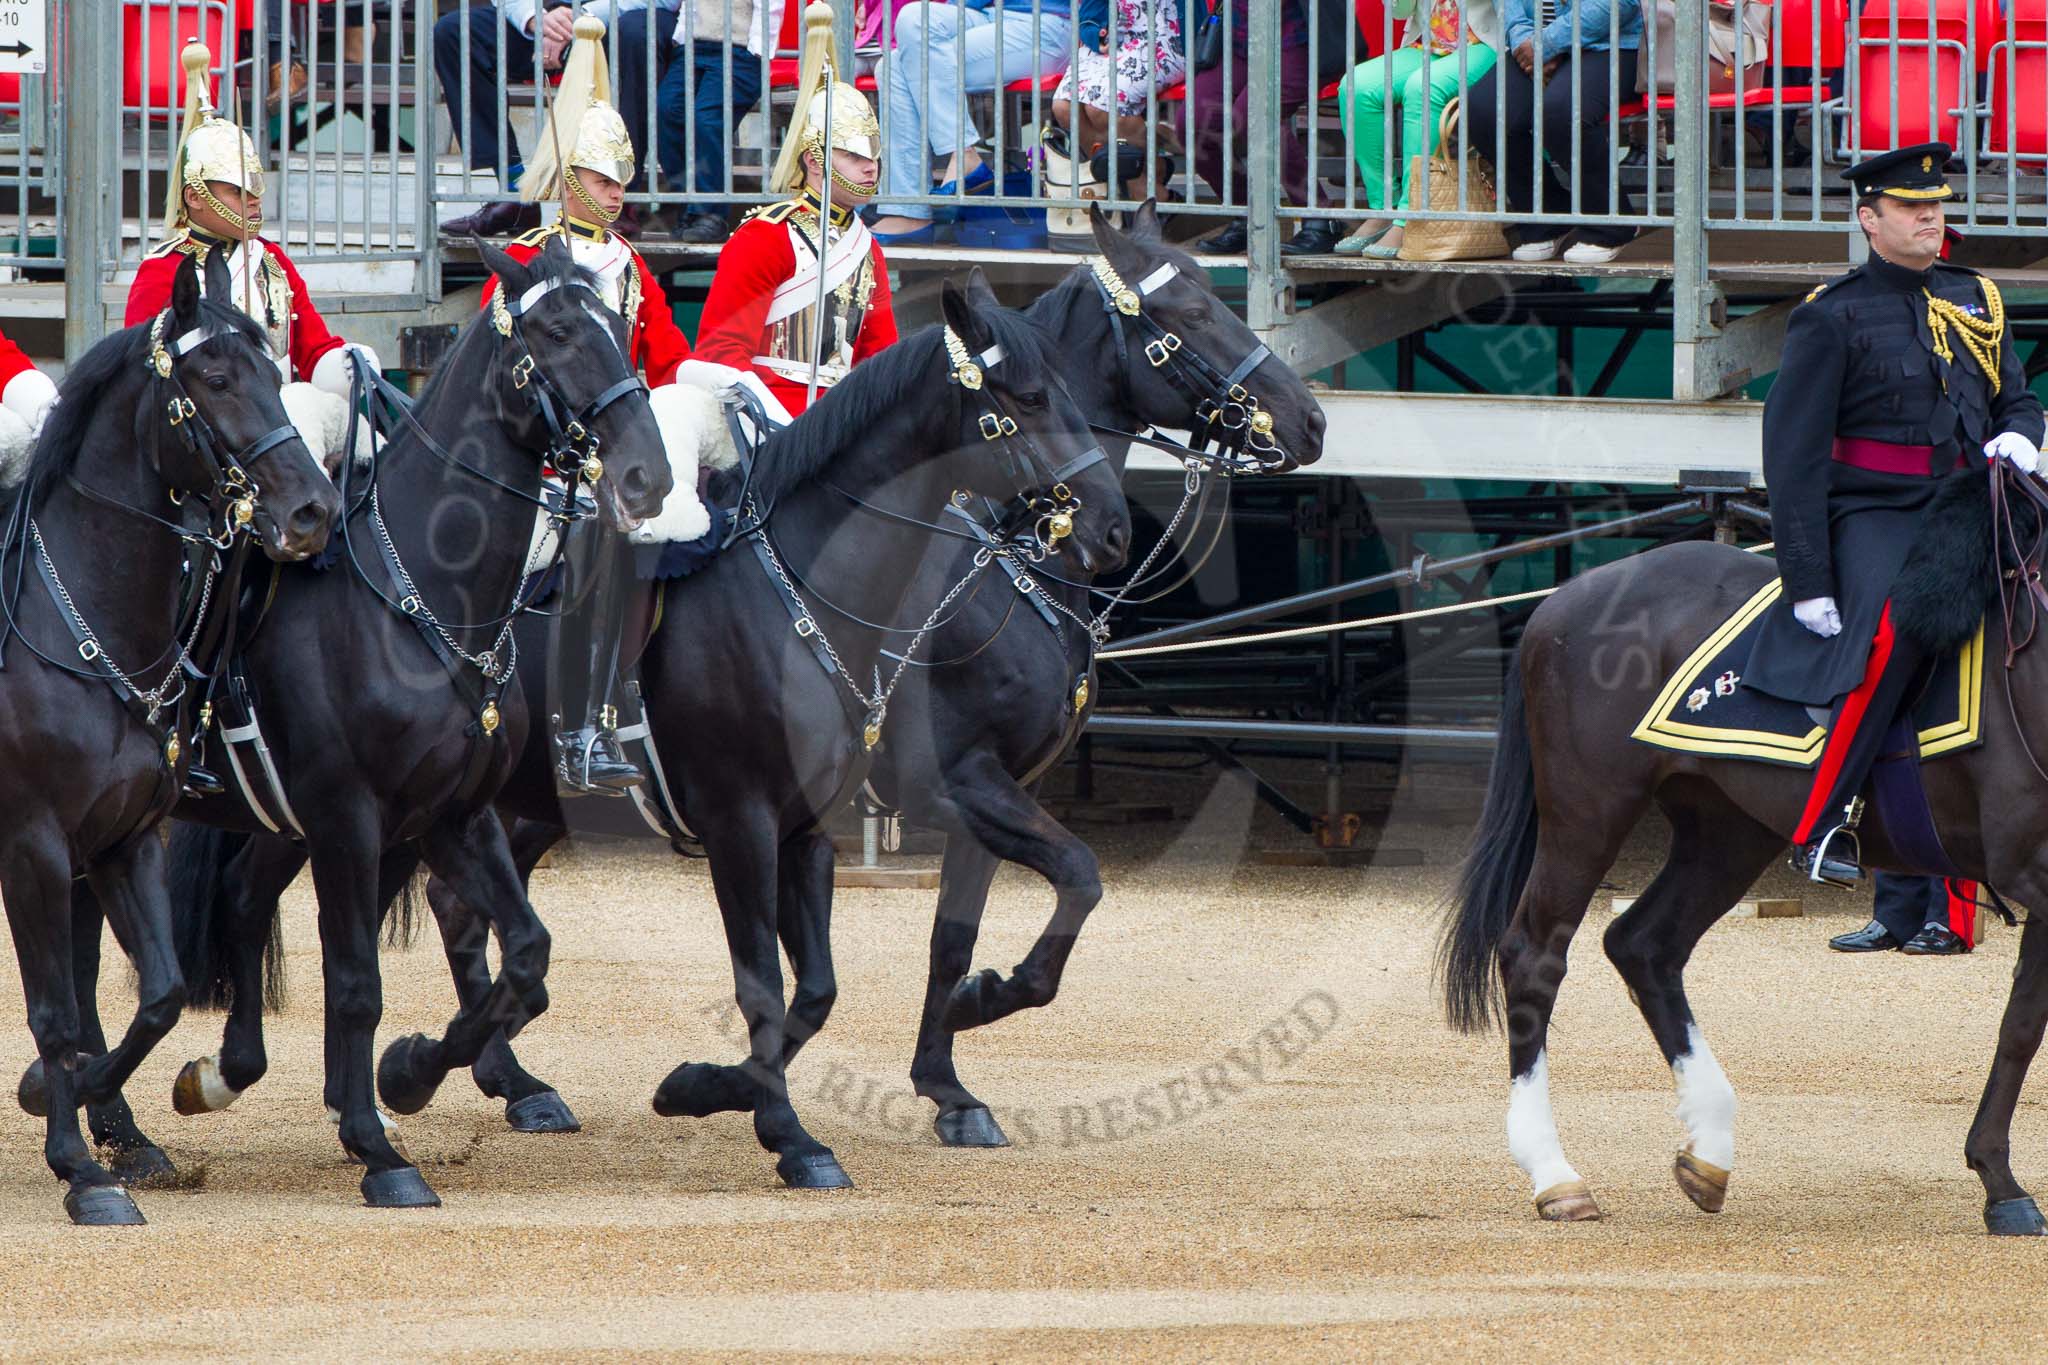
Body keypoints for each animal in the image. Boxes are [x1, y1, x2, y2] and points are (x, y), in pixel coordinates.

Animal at [2, 255, 335, 1227]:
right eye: (214, 379)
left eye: (275, 371)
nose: (313, 510)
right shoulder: (33, 845)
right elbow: (55, 1010)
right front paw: (80, 1164)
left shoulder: (124, 838)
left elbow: (160, 993)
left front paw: (85, 1107)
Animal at [74, 232, 671, 1203]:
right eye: (555, 331)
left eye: (624, 329)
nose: (647, 475)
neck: (423, 598)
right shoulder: (351, 818)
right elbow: (357, 978)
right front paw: (378, 1143)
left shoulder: (451, 814)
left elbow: (528, 955)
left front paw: (407, 1075)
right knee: (93, 946)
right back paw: (120, 1128)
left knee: (236, 903)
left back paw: (209, 1081)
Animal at [1441, 515, 2048, 1236]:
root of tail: (1566, 597)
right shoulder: (2030, 863)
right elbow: (2025, 1024)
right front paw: (1999, 1179)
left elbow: (2021, 1023)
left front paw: (1999, 1180)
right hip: (1588, 812)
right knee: (1536, 955)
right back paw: (1556, 1174)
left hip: (1728, 830)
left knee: (1645, 945)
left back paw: (1708, 1148)